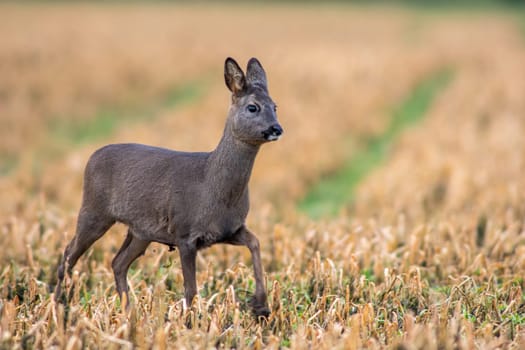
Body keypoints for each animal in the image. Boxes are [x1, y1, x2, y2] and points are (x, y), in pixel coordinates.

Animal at [54, 56, 282, 318]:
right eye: (253, 107)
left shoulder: (229, 229)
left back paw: (129, 313)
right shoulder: (185, 233)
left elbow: (255, 242)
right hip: (93, 210)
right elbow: (191, 290)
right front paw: (190, 321)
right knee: (68, 255)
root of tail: (92, 156)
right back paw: (59, 305)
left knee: (118, 262)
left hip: (140, 231)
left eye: (275, 106)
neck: (212, 186)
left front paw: (261, 306)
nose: (277, 129)